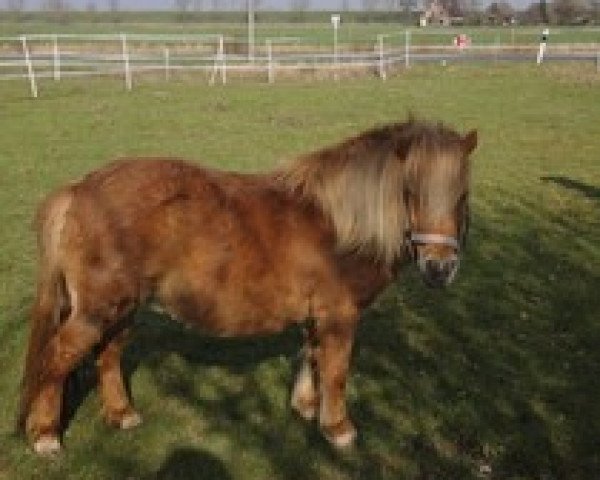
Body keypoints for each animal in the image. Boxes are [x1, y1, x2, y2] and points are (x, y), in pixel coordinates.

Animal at [17, 119, 478, 454]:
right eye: (410, 190)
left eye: (461, 195)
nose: (440, 268)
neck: (340, 227)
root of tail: (79, 190)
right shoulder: (338, 315)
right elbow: (335, 371)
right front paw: (338, 428)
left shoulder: (317, 314)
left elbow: (311, 356)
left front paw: (305, 407)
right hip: (98, 309)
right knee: (57, 356)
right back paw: (45, 435)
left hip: (122, 307)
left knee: (108, 354)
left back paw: (121, 414)